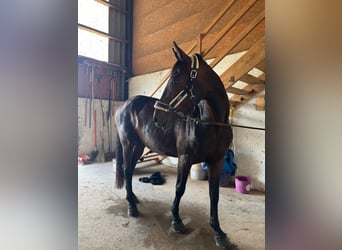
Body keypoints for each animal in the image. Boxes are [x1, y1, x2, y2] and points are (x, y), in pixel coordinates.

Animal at [115, 42, 232, 247]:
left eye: (176, 77)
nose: (157, 118)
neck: (211, 124)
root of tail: (124, 105)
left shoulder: (216, 162)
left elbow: (214, 194)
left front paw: (218, 231)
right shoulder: (185, 158)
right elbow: (179, 188)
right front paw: (176, 221)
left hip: (138, 146)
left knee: (129, 170)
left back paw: (134, 198)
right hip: (128, 145)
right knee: (127, 170)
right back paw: (131, 205)